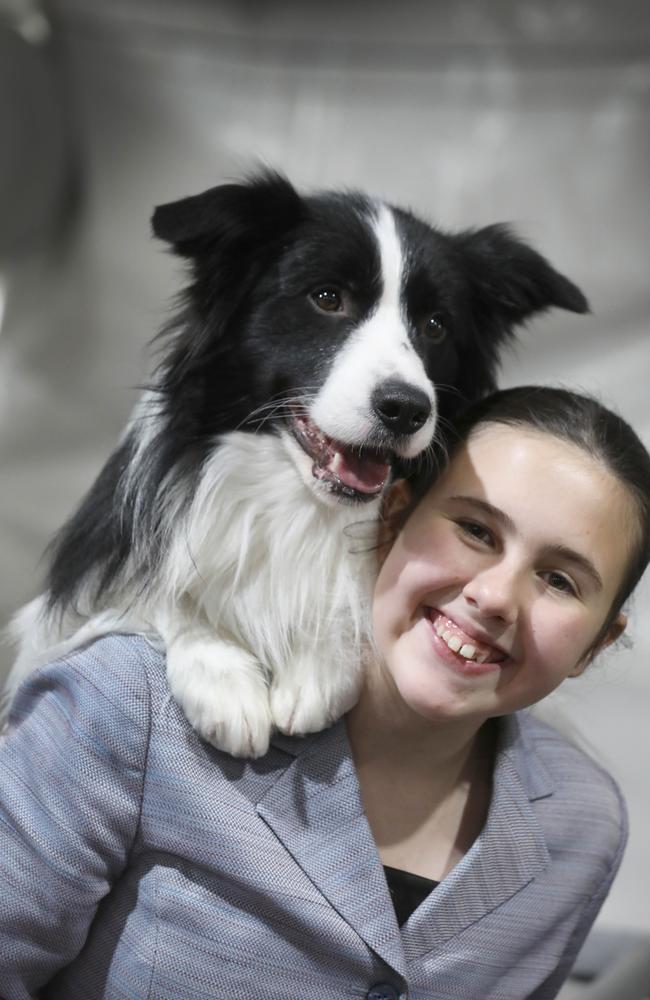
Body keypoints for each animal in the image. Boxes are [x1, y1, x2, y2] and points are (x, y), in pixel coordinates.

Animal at [3, 170, 588, 756]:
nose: (406, 409)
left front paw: (319, 664)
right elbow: (159, 591)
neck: (297, 501)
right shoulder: (75, 599)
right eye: (327, 298)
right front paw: (223, 677)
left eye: (436, 325)